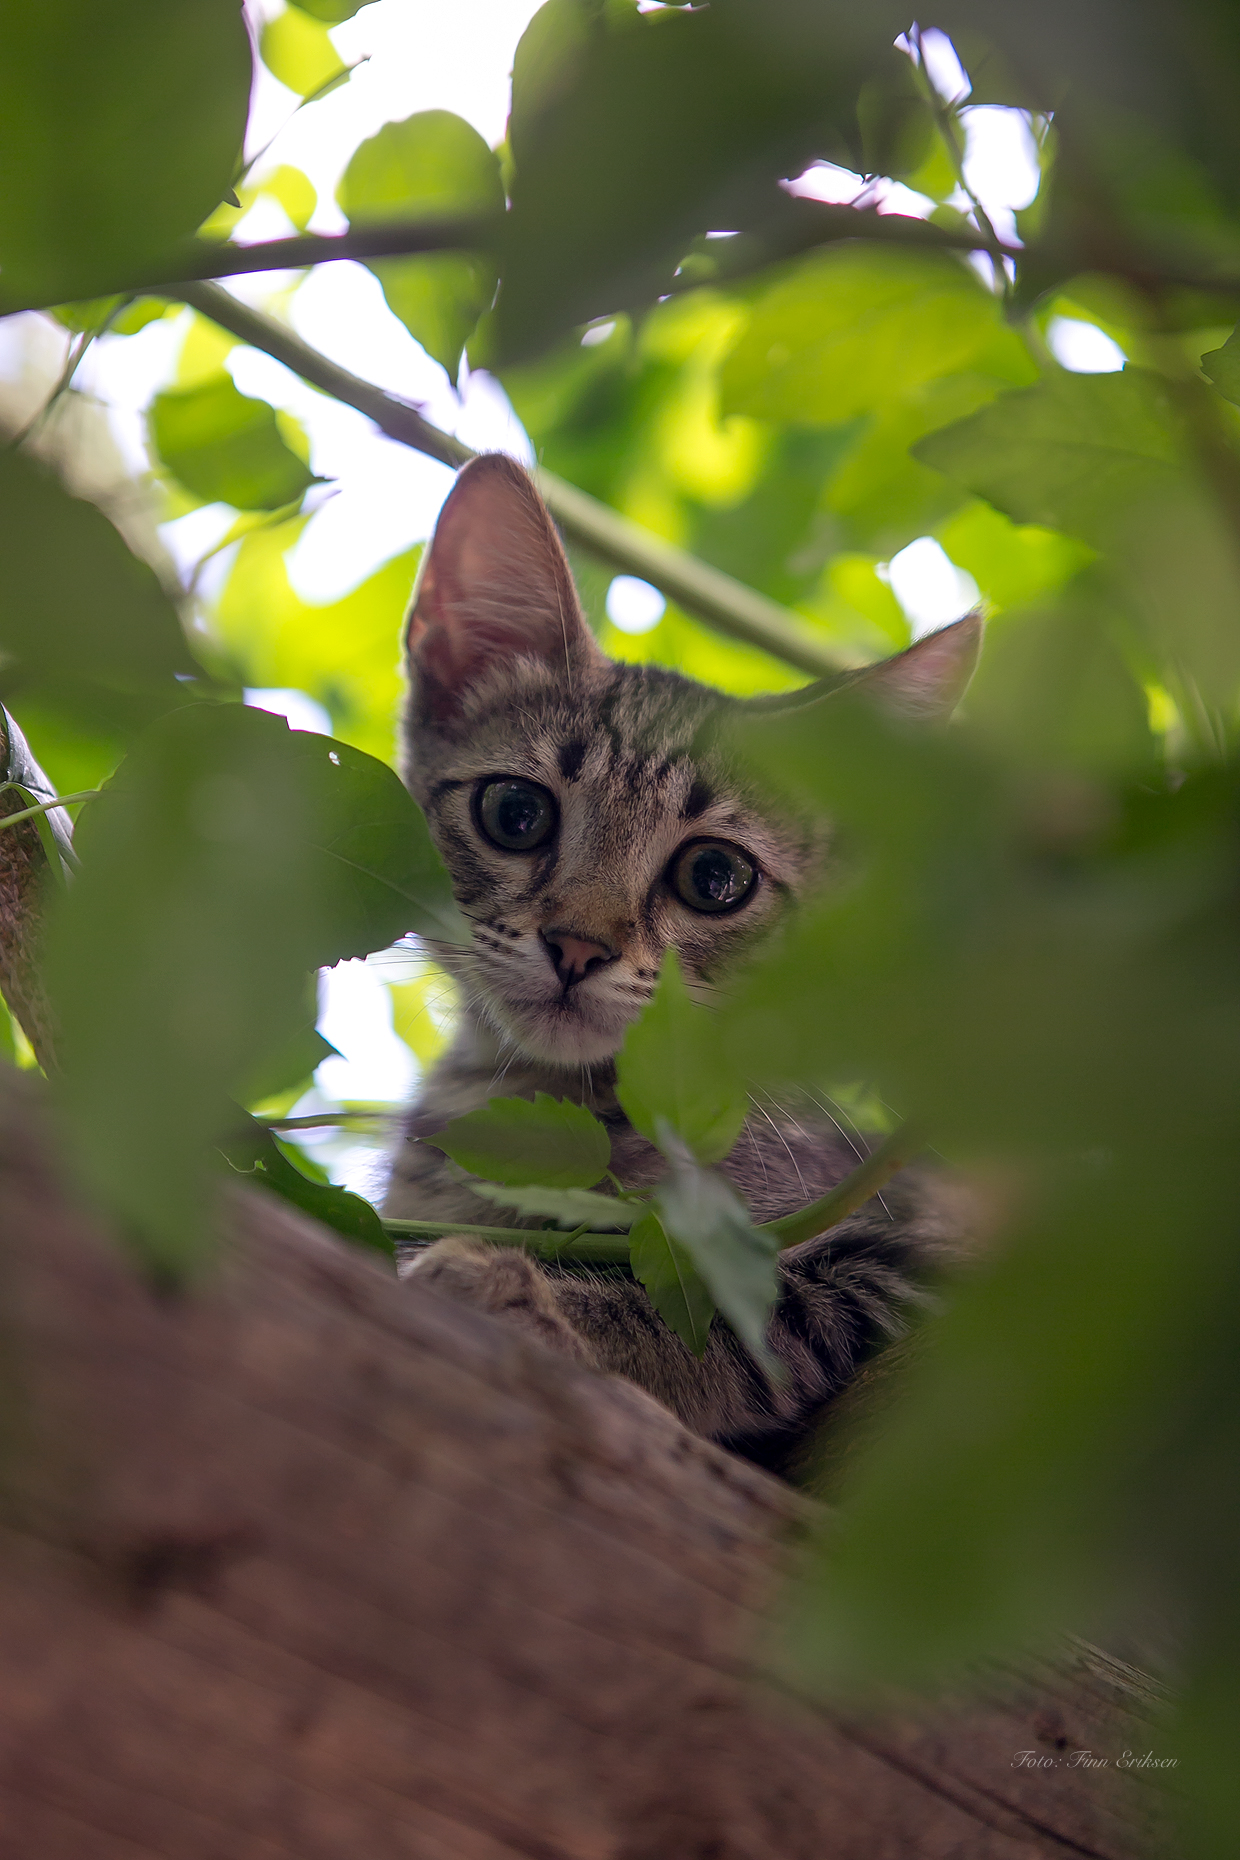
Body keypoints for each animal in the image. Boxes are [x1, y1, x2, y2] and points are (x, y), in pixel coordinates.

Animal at [383, 453, 980, 1472]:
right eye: (515, 813)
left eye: (715, 878)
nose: (578, 946)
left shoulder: (923, 1252)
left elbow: (733, 1323)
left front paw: (532, 1300)